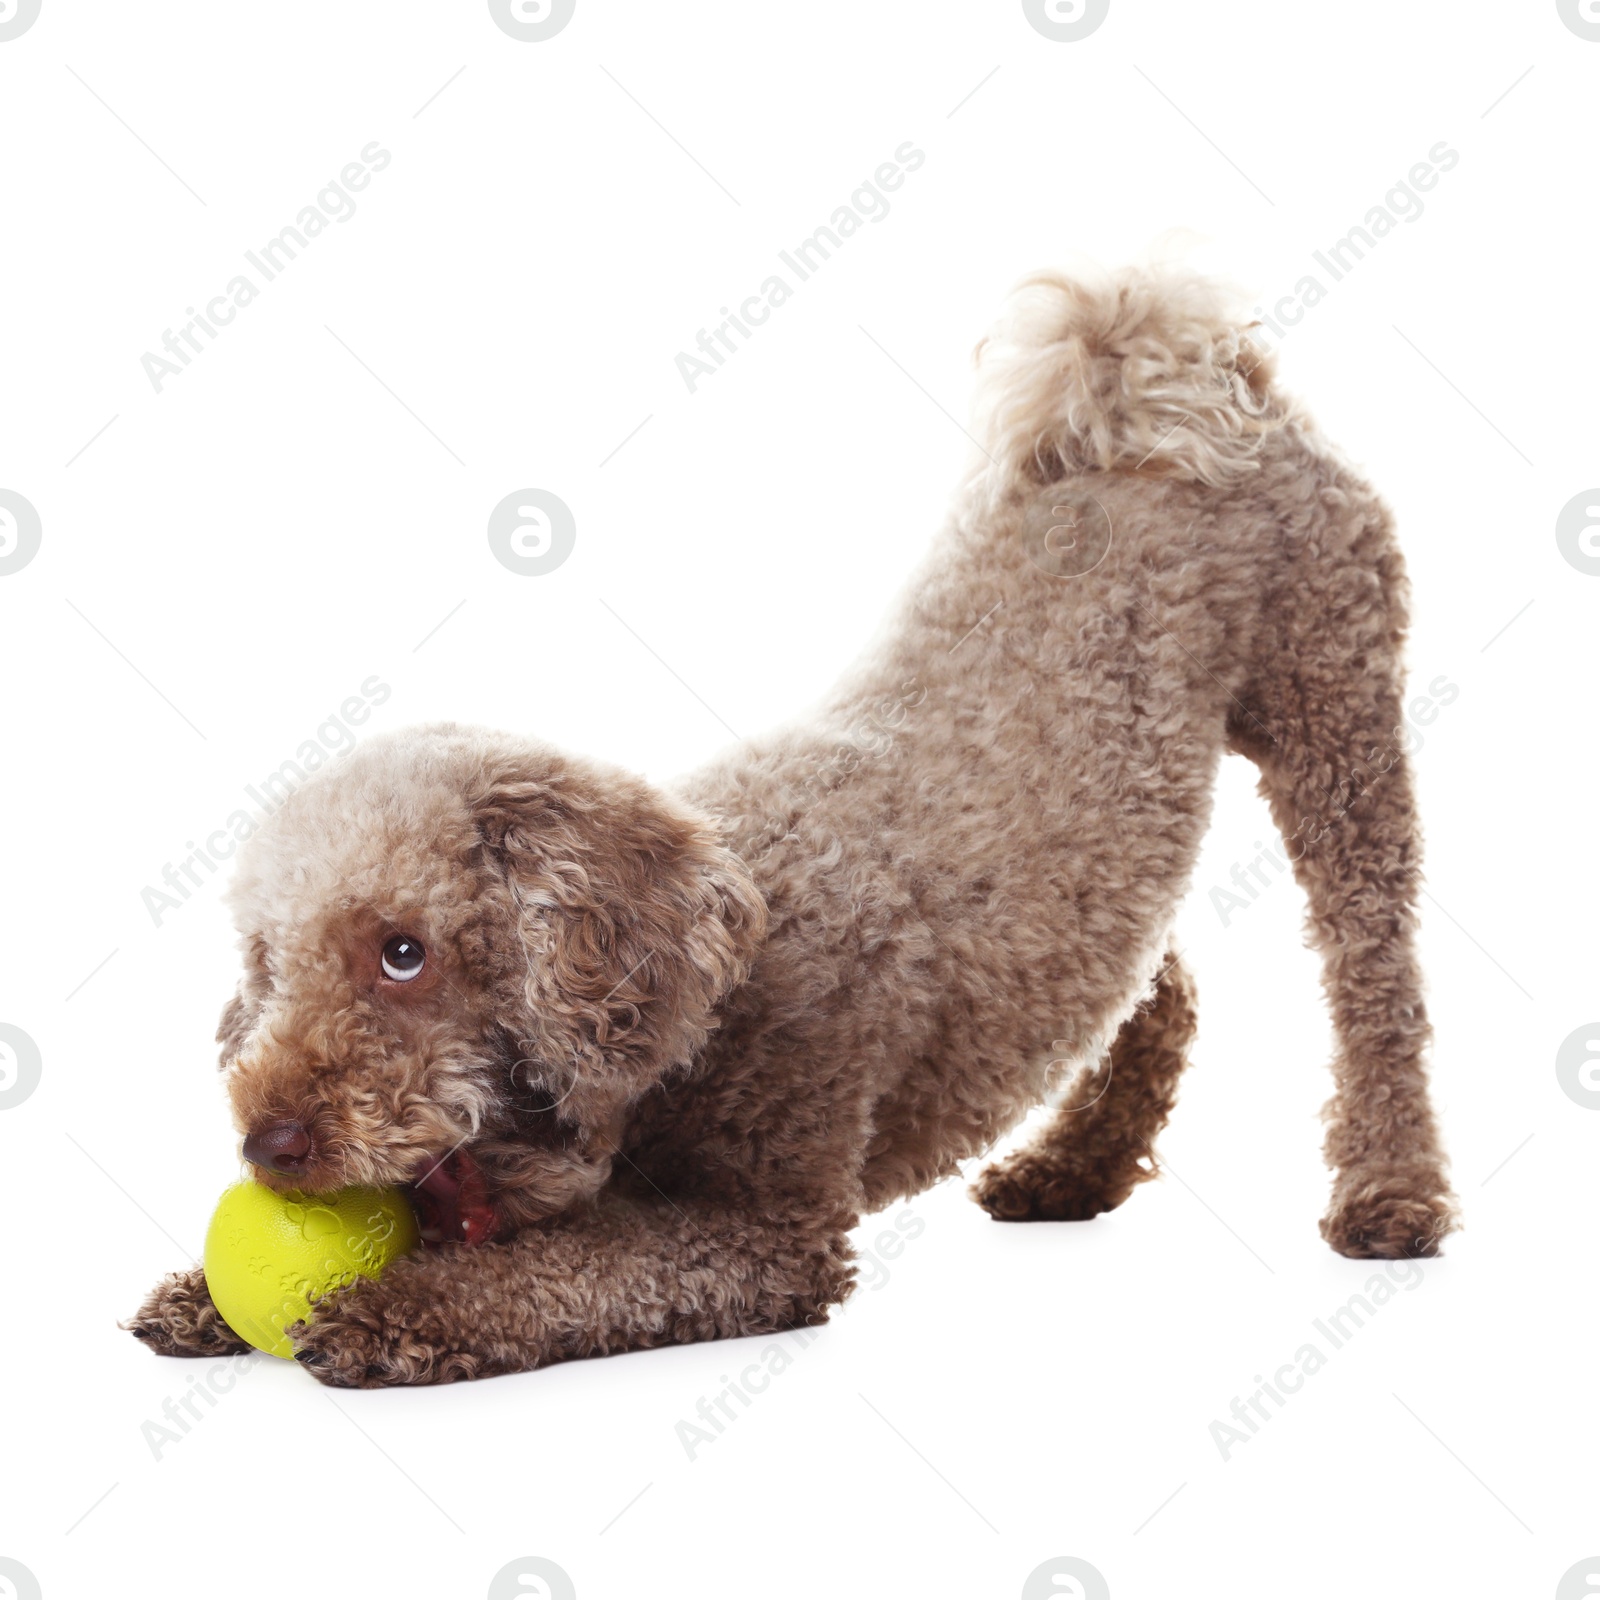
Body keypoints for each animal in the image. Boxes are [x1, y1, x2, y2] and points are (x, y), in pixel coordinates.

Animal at [124, 265, 1459, 1388]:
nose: (269, 1142)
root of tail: (1180, 364)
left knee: (1372, 969)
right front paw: (200, 1294)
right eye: (268, 965)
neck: (703, 1002)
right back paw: (1071, 1166)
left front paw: (395, 1310)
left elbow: (560, 1275)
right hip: (1115, 866)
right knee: (1153, 981)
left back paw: (1390, 1193)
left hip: (1332, 700)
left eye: (404, 952)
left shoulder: (762, 1237)